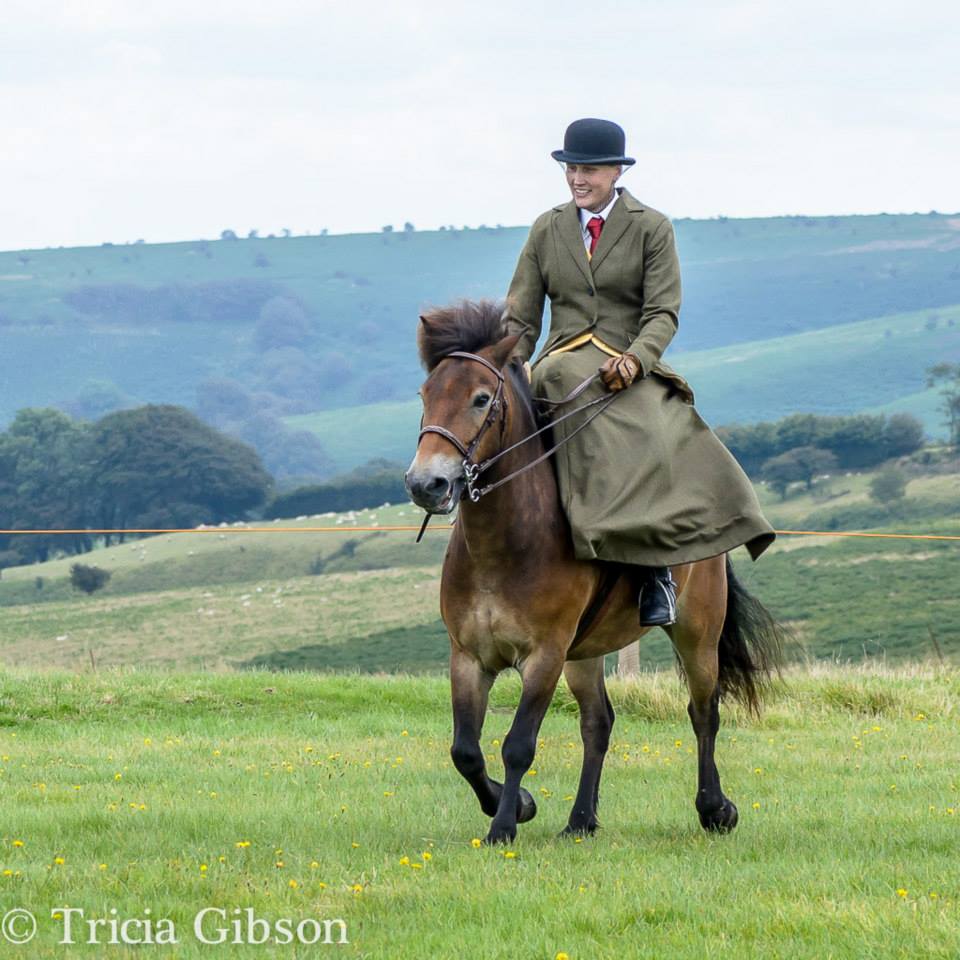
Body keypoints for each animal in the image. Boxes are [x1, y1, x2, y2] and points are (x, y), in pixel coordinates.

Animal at [405, 300, 784, 845]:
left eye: (480, 399)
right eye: (426, 394)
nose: (426, 484)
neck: (502, 547)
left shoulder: (544, 655)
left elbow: (518, 744)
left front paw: (504, 826)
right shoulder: (469, 657)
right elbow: (466, 751)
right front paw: (519, 805)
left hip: (697, 632)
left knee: (703, 712)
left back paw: (715, 809)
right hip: (583, 654)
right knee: (597, 722)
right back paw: (581, 820)